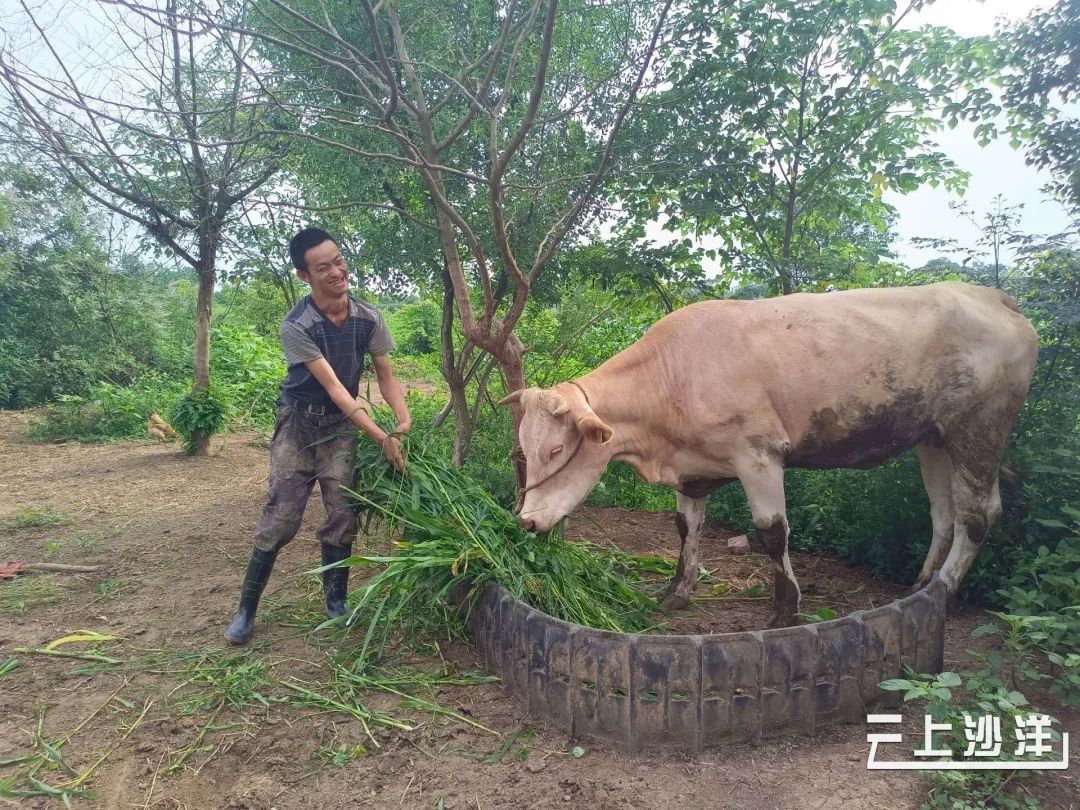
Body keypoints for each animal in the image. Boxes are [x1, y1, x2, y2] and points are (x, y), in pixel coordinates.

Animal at [501, 282, 1041, 630]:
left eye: (556, 449)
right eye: (523, 449)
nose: (525, 521)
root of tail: (991, 295)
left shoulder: (758, 455)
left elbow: (772, 533)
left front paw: (786, 609)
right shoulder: (693, 470)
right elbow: (686, 529)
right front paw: (676, 593)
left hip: (979, 428)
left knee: (977, 514)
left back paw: (944, 590)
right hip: (932, 438)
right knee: (943, 512)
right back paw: (919, 586)